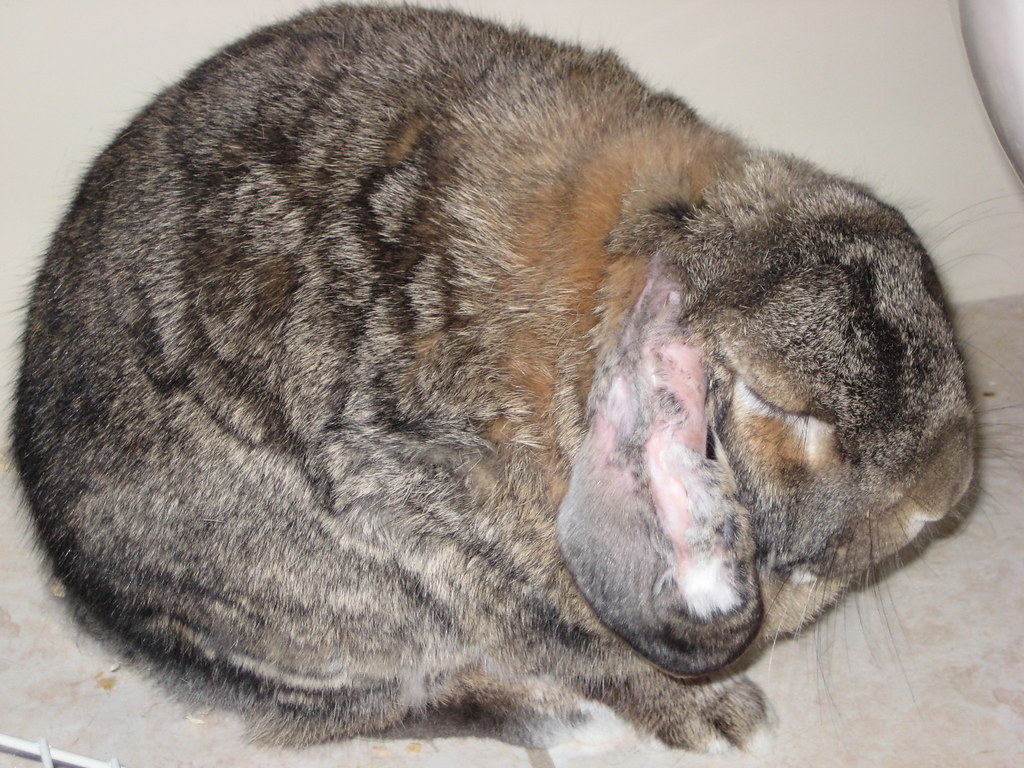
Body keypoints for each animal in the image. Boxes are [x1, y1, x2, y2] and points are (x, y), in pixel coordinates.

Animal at [11, 3, 975, 752]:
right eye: (780, 405)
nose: (946, 490)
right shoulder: (449, 541)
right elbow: (577, 649)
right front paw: (720, 719)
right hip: (332, 610)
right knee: (376, 706)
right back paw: (566, 725)